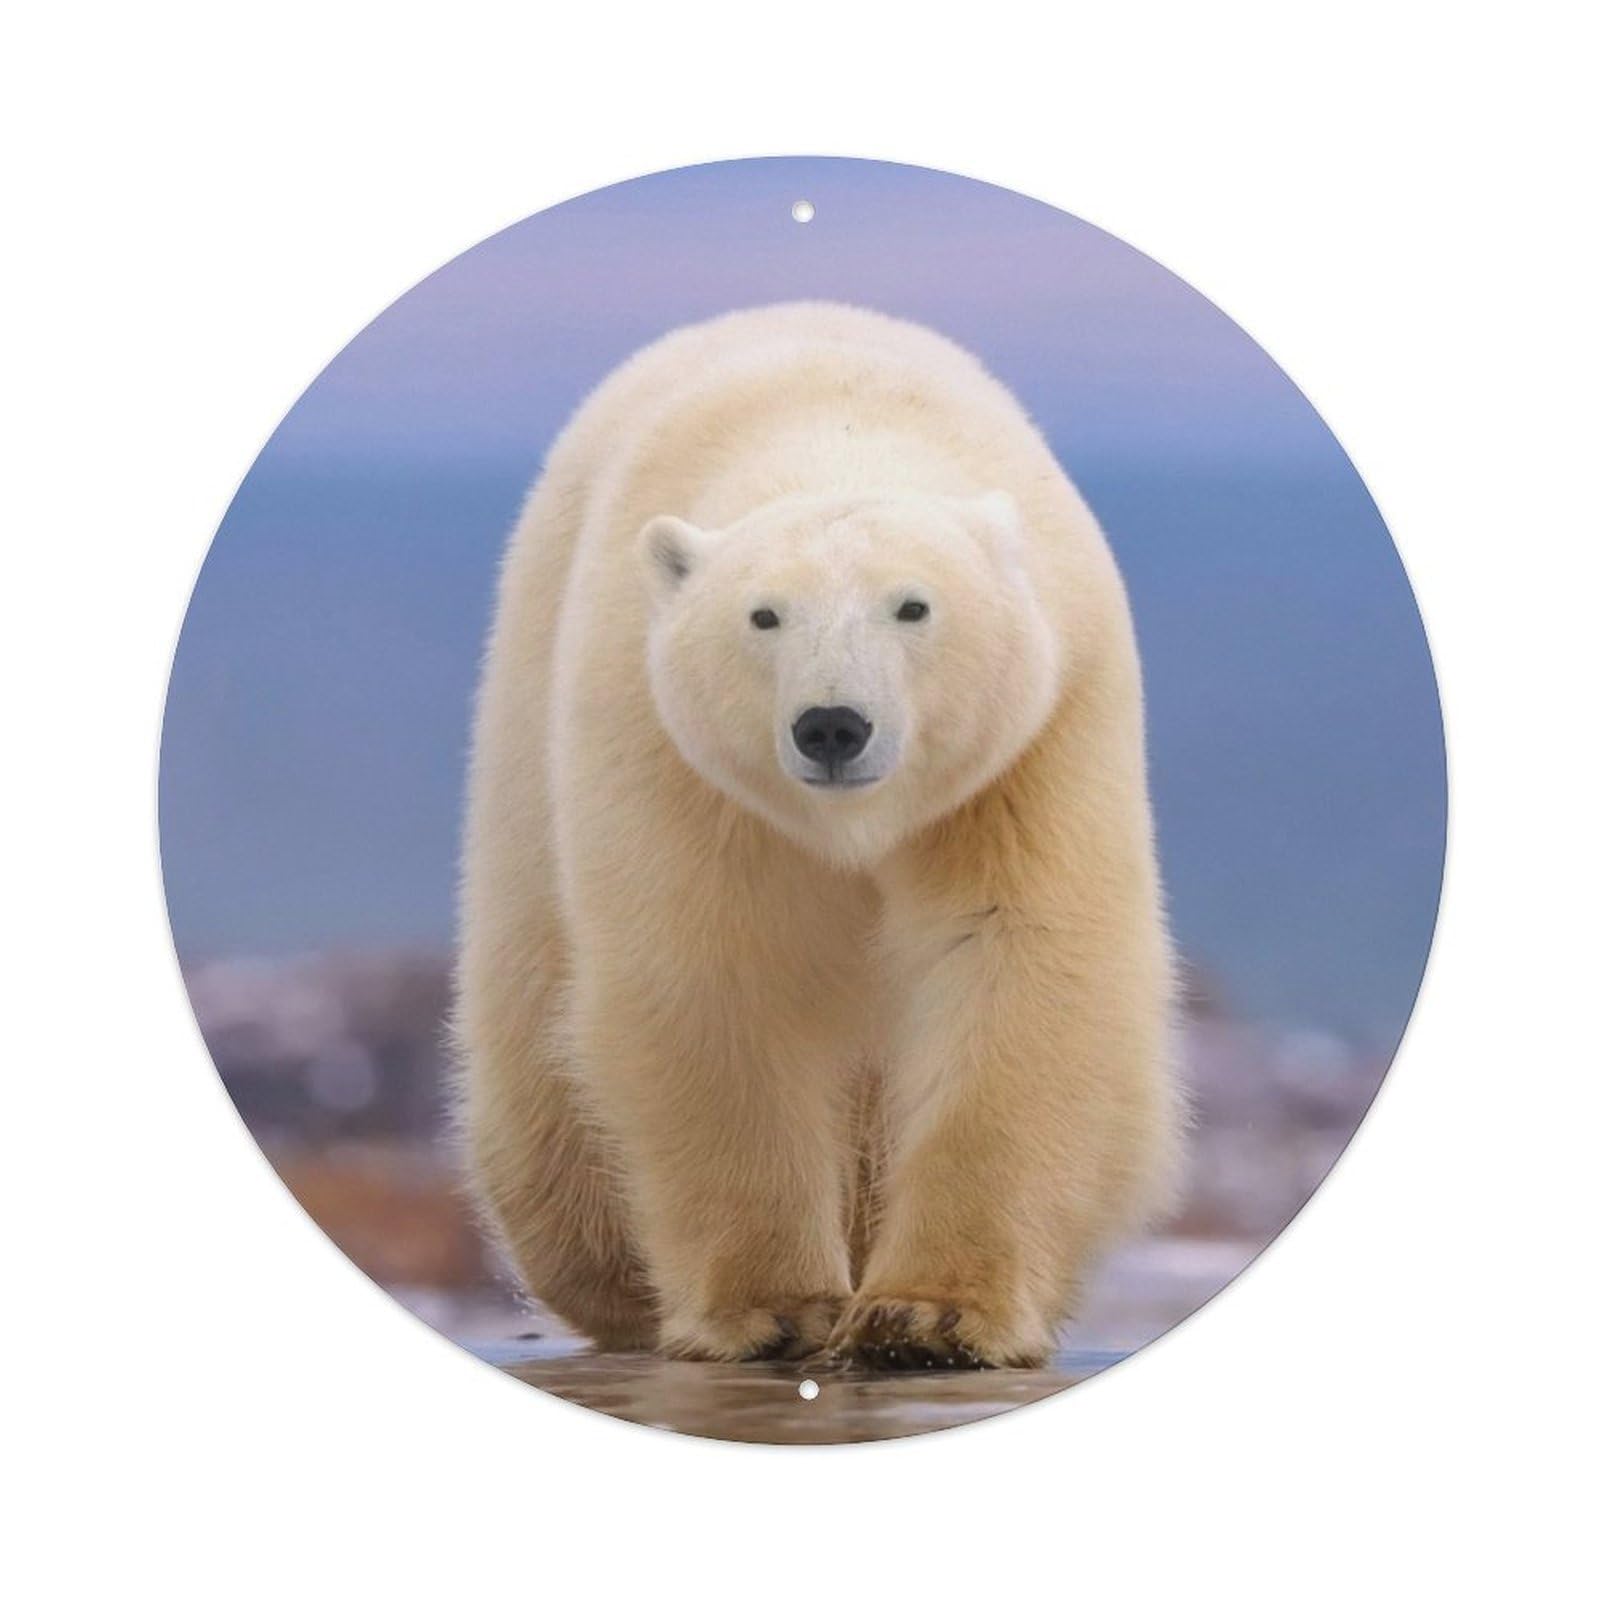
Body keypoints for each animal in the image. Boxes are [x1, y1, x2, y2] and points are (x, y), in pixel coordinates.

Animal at [455, 301, 1180, 1369]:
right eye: (764, 615)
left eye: (914, 605)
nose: (832, 725)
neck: (833, 429)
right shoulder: (665, 742)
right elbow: (715, 970)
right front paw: (775, 1309)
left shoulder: (1035, 739)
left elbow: (1015, 955)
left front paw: (928, 1315)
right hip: (522, 772)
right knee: (539, 1071)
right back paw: (610, 1281)